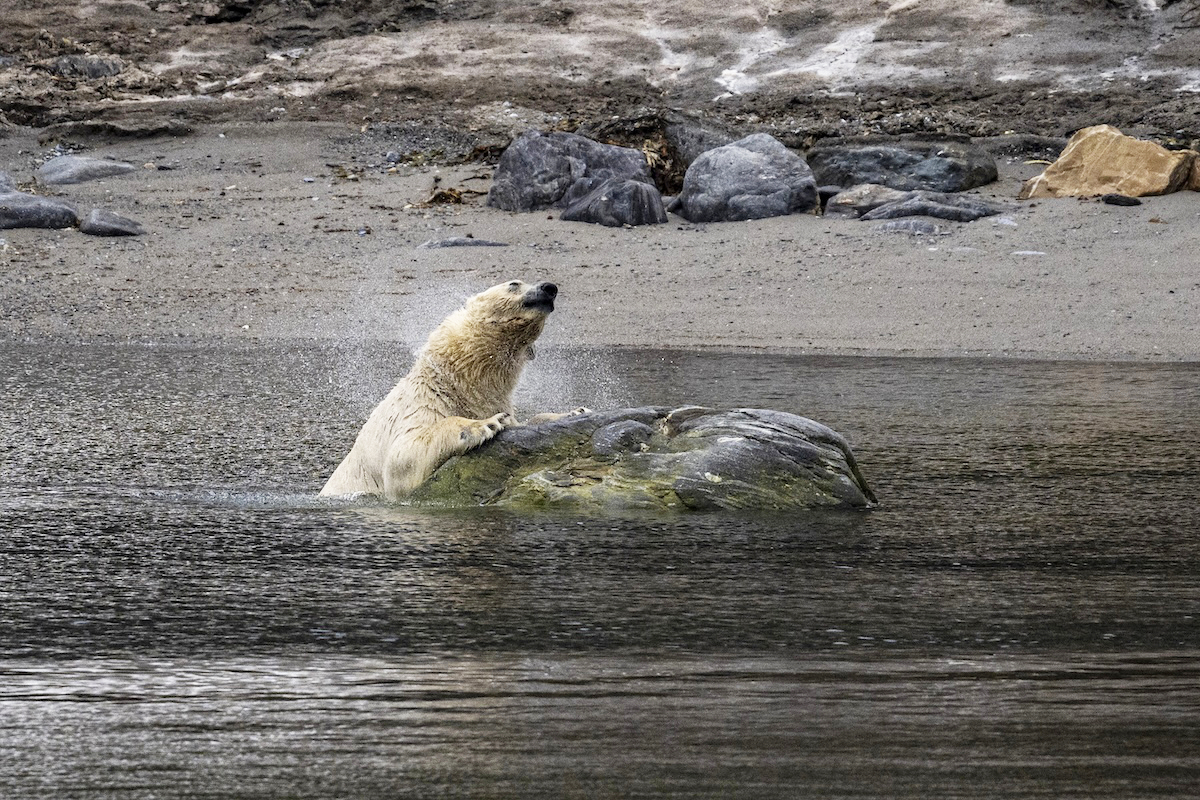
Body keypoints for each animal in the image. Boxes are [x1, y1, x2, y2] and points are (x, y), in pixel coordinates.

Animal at [321, 279, 562, 501]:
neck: (452, 383)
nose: (549, 288)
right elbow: (401, 456)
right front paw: (486, 424)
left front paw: (566, 414)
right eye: (514, 284)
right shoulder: (418, 405)